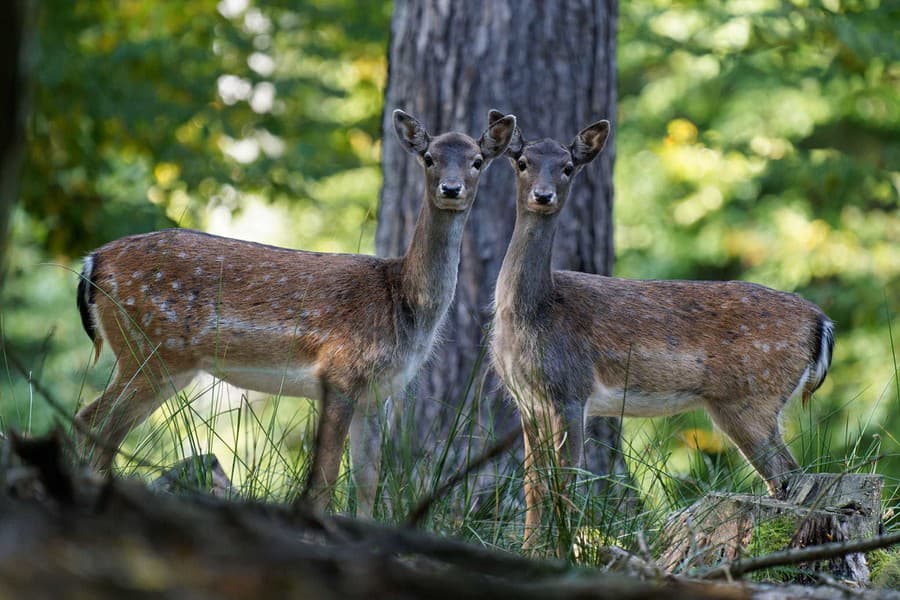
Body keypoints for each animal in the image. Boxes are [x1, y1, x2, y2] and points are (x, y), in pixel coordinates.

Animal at [75, 110, 512, 516]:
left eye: (476, 160)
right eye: (428, 157)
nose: (451, 188)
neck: (403, 302)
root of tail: (93, 261)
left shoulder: (378, 393)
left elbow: (368, 480)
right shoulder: (339, 373)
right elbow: (325, 479)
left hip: (164, 362)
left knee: (100, 425)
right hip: (149, 348)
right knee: (94, 421)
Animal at [488, 111, 832, 548]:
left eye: (567, 167)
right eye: (522, 162)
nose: (543, 195)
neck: (533, 312)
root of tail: (822, 322)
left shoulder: (570, 389)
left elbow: (564, 485)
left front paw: (558, 550)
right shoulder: (527, 400)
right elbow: (534, 485)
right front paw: (532, 548)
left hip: (752, 398)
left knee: (789, 476)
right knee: (789, 479)